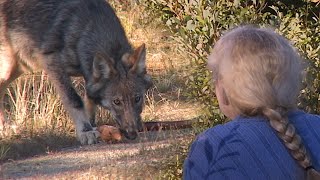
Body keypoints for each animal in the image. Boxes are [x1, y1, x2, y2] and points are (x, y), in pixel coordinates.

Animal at [0, 0, 152, 144]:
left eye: (137, 98)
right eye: (116, 102)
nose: (133, 134)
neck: (86, 29)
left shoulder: (89, 76)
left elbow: (90, 103)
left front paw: (91, 126)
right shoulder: (52, 62)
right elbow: (74, 99)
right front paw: (85, 131)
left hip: (19, 67)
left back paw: (6, 129)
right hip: (10, 68)